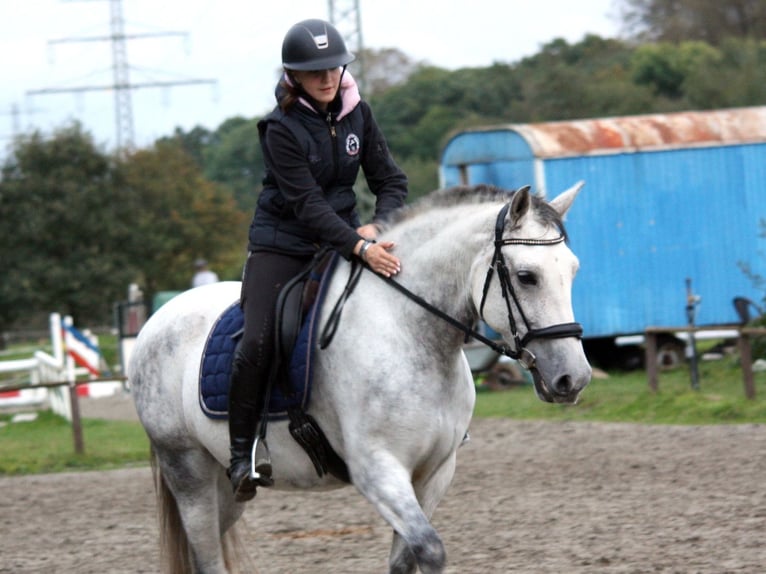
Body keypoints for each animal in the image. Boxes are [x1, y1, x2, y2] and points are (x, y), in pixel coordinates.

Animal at [130, 183, 592, 572]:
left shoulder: (435, 472)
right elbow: (431, 550)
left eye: (573, 271)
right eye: (526, 276)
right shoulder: (378, 471)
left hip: (223, 488)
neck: (410, 331)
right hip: (187, 470)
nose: (574, 377)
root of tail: (157, 319)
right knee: (206, 555)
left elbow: (405, 559)